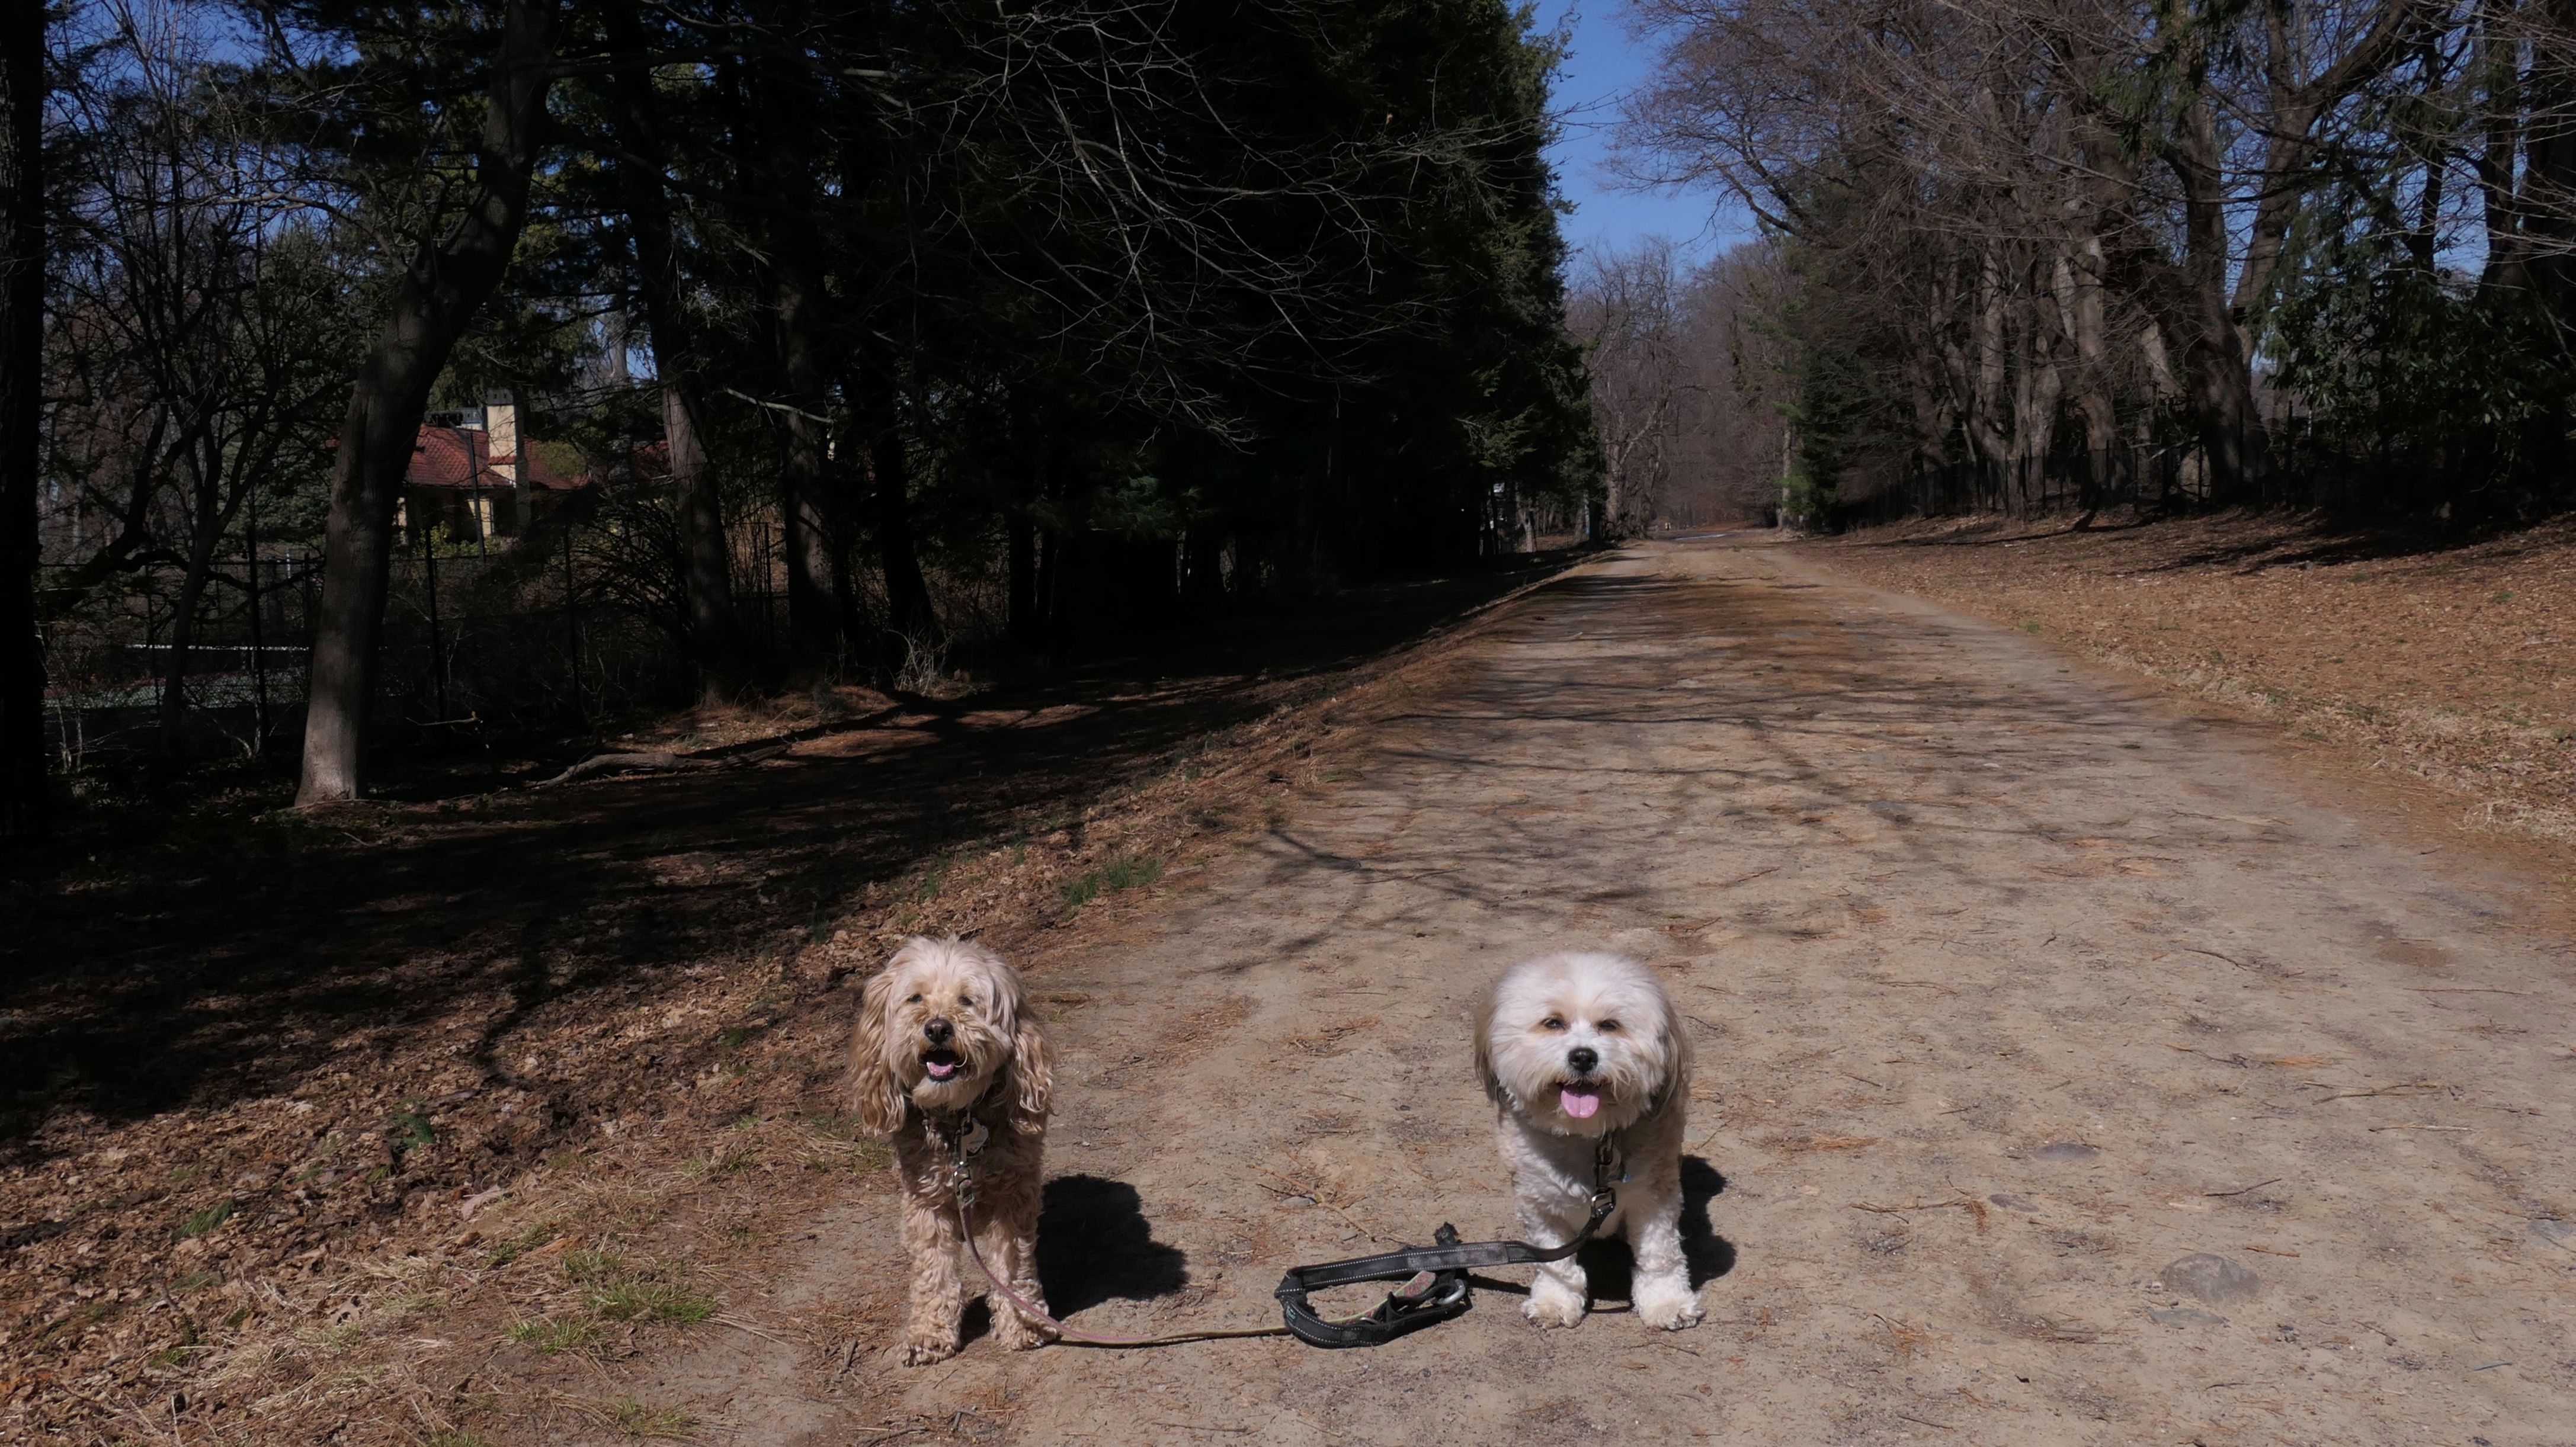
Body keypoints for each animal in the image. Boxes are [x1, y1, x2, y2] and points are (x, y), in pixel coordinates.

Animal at [851, 936, 1054, 1365]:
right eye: (915, 998)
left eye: (967, 1000)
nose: (938, 1027)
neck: (959, 1118)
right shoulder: (926, 1198)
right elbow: (933, 1270)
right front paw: (930, 1332)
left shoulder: (1013, 1191)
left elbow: (1013, 1263)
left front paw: (1024, 1321)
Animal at [1474, 951, 1703, 1331]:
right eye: (1553, 1023)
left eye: (1610, 1025)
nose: (1583, 1056)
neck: (1589, 1137)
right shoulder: (1540, 1205)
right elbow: (1555, 1263)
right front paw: (1555, 1301)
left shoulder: (1654, 1198)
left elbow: (1660, 1255)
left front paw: (1666, 1302)